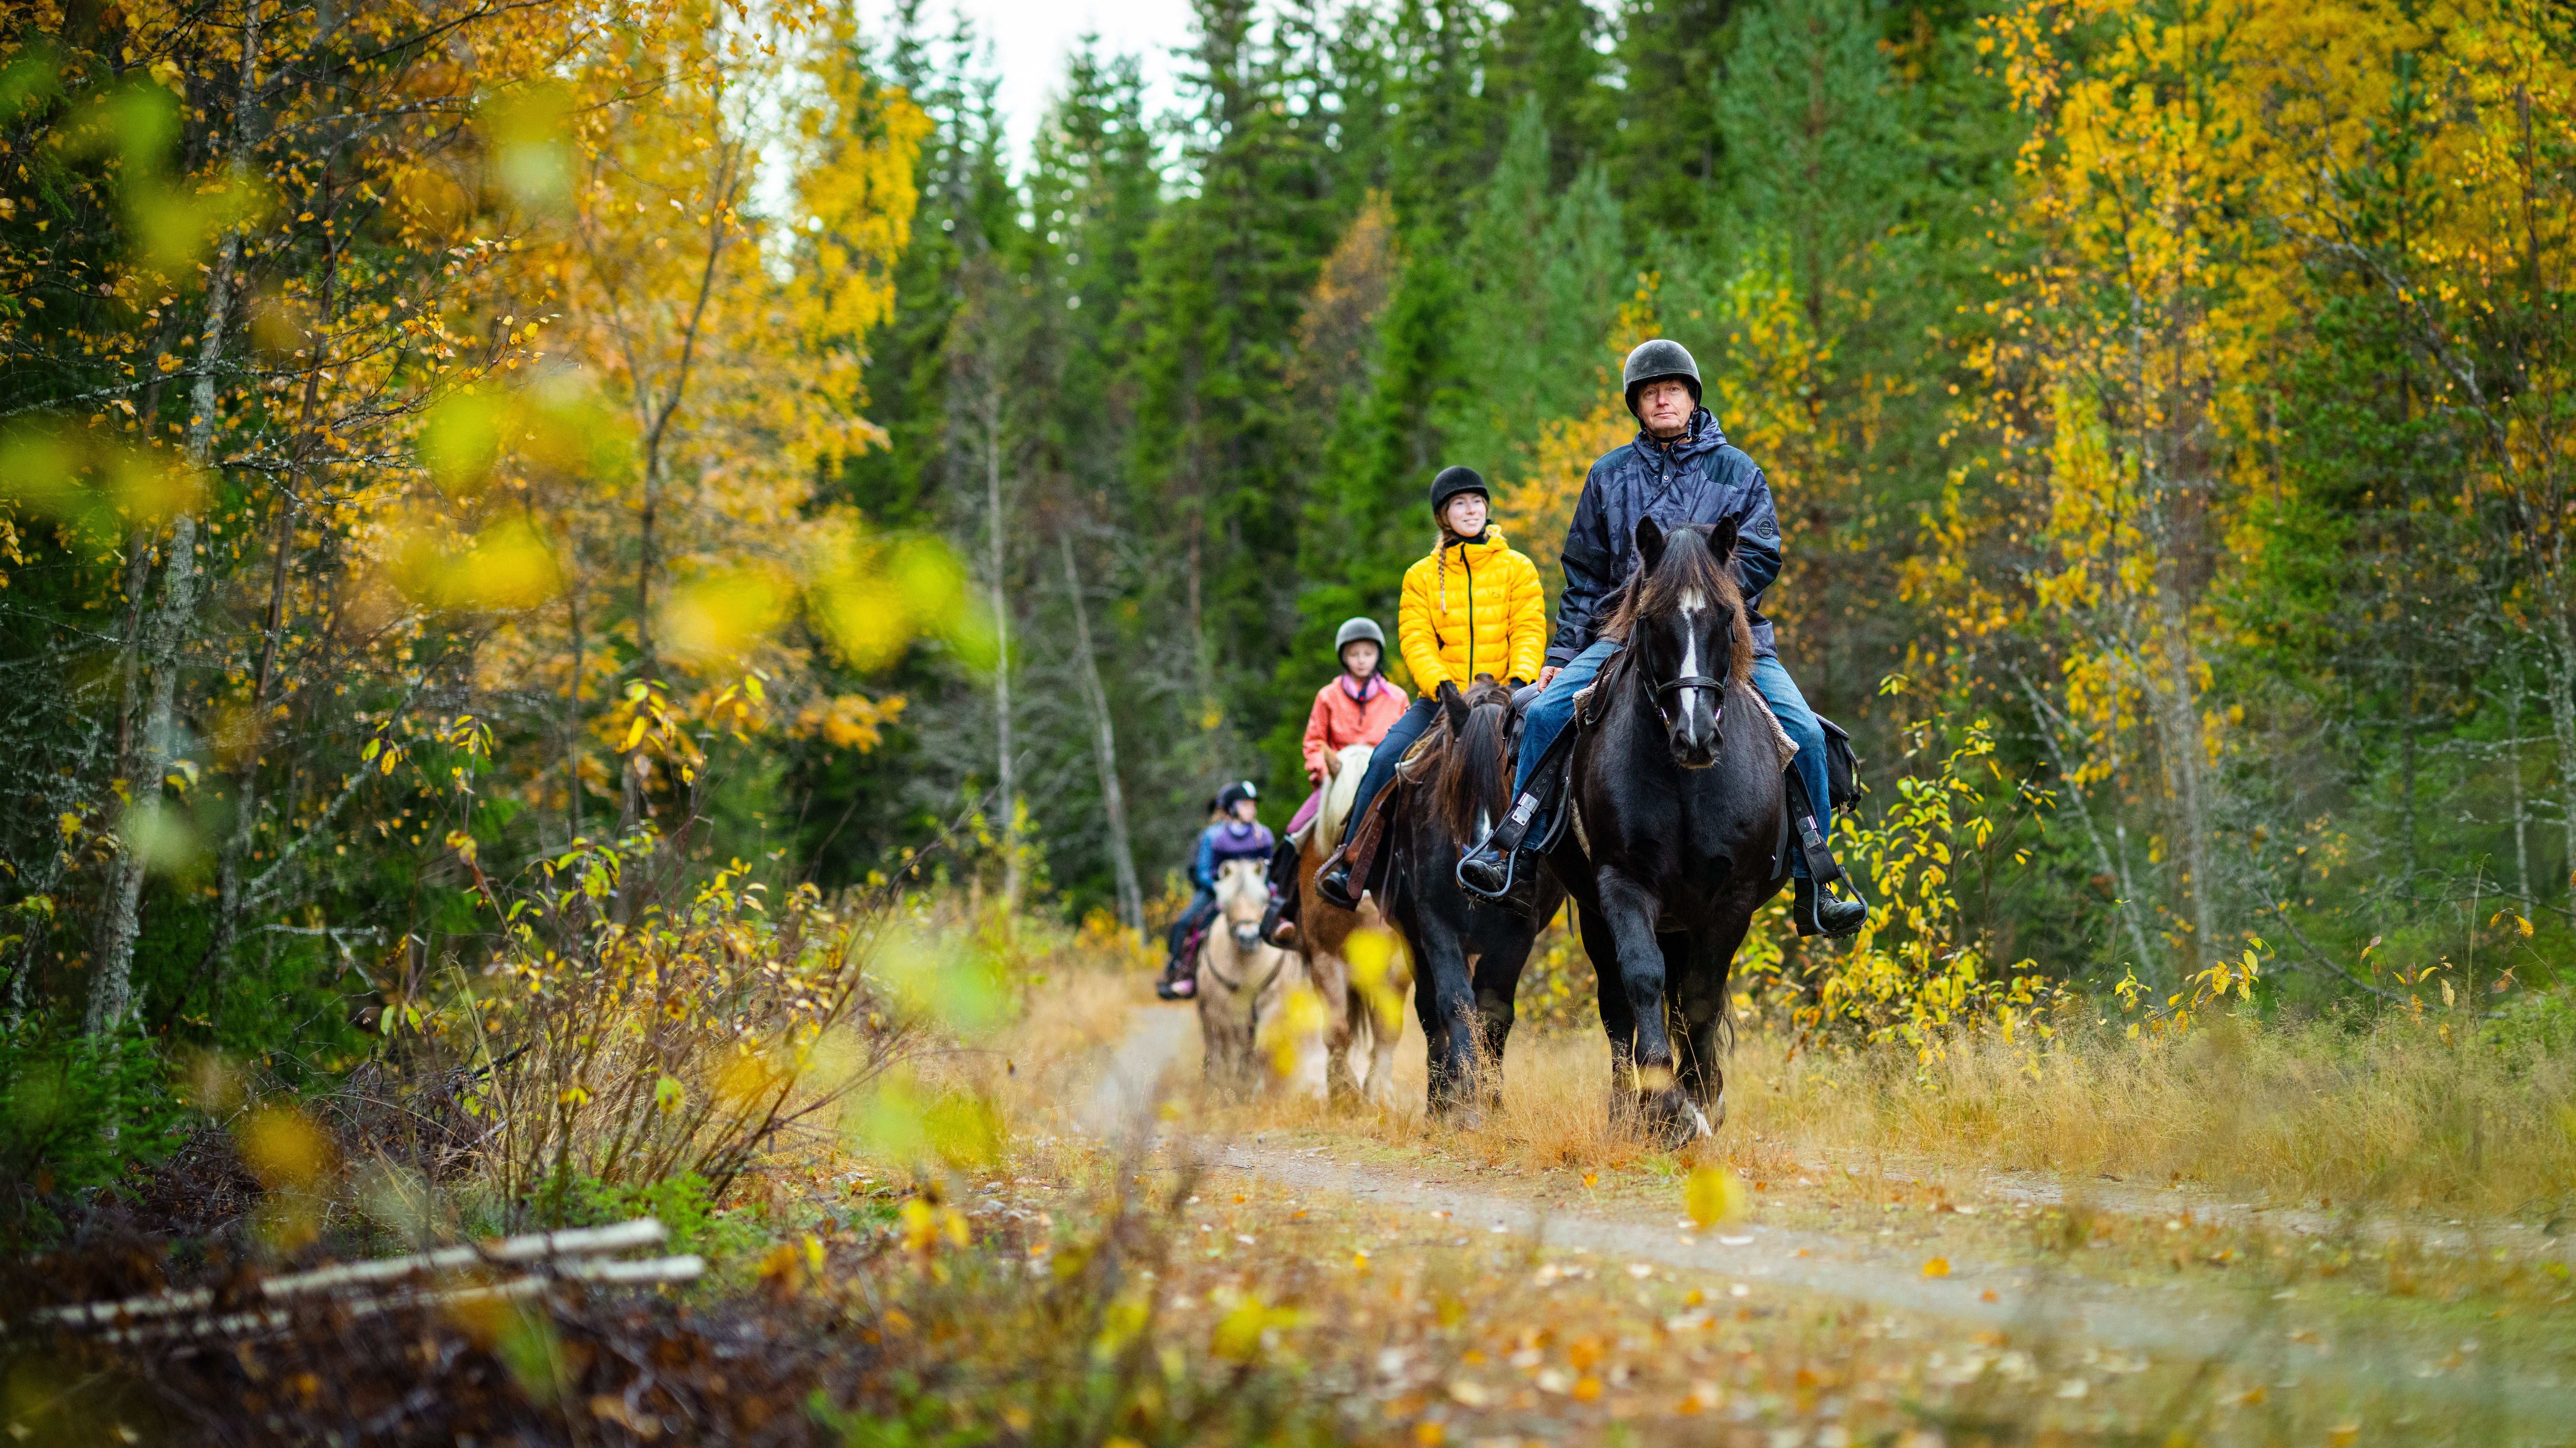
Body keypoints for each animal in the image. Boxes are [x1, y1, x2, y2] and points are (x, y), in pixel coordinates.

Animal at [1195, 856, 1326, 1099]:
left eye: (1263, 899)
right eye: (1226, 903)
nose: (1249, 937)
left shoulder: (1271, 1006)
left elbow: (1262, 1051)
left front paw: (1258, 1092)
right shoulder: (1220, 1014)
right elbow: (1229, 1054)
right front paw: (1225, 1090)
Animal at [1291, 743, 1412, 1108]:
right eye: (1352, 817)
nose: (1369, 898)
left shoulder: (1396, 966)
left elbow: (1387, 1029)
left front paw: (1379, 1094)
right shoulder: (1325, 960)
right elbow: (1338, 1030)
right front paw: (1343, 1092)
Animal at [1383, 678, 1567, 1124]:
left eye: (1511, 772)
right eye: (1456, 780)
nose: (1478, 867)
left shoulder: (1519, 932)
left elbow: (1495, 1011)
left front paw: (1491, 1098)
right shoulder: (1436, 927)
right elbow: (1455, 1003)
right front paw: (1462, 1093)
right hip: (1414, 941)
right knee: (1429, 1011)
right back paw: (1438, 1100)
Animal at [1547, 518, 1788, 1146]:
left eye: (1725, 617)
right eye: (1650, 619)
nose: (1695, 735)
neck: (1684, 783)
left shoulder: (1730, 899)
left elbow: (1700, 997)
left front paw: (1701, 1096)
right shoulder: (1622, 884)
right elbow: (1642, 978)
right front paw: (1664, 1103)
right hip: (1597, 913)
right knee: (1617, 1007)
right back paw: (1624, 1111)